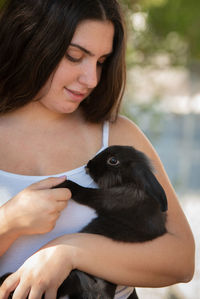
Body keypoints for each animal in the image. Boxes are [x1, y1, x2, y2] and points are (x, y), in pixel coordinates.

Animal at [1, 146, 167, 299]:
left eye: (113, 160)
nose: (88, 164)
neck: (132, 183)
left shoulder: (106, 198)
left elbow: (83, 192)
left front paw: (63, 184)